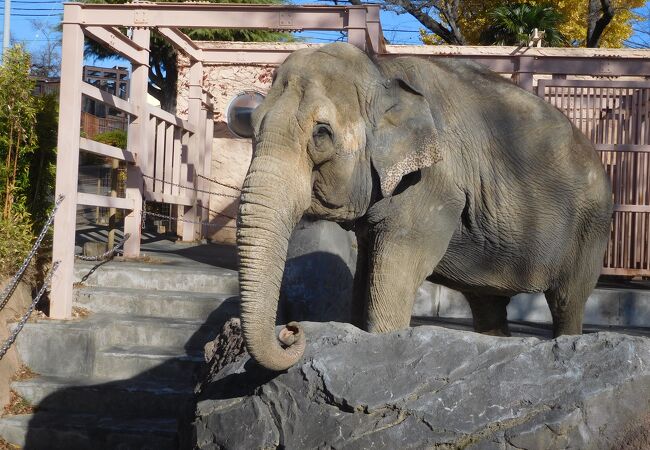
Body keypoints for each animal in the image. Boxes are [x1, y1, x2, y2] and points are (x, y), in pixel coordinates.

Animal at [235, 43, 612, 372]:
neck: (382, 72)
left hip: (591, 229)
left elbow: (396, 268)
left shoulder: (434, 184)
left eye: (322, 134)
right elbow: (366, 269)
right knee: (487, 304)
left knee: (567, 299)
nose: (291, 330)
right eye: (250, 125)